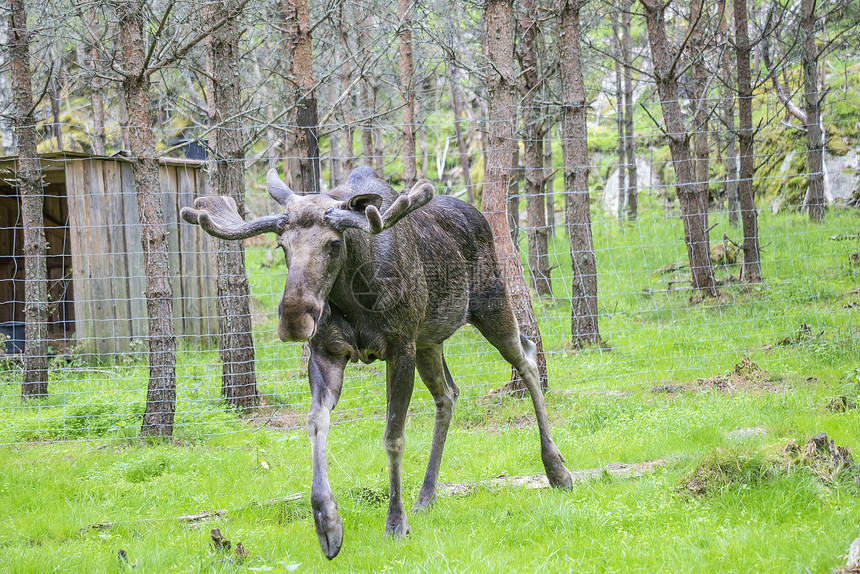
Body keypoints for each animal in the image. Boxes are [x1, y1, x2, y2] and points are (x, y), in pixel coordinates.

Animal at [181, 168, 572, 564]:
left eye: (333, 244)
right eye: (282, 247)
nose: (294, 320)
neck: (355, 295)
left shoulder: (399, 348)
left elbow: (393, 436)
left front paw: (395, 522)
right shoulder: (327, 351)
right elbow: (315, 421)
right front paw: (327, 523)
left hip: (489, 305)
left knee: (527, 358)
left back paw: (557, 470)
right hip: (429, 340)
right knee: (448, 394)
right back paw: (427, 496)